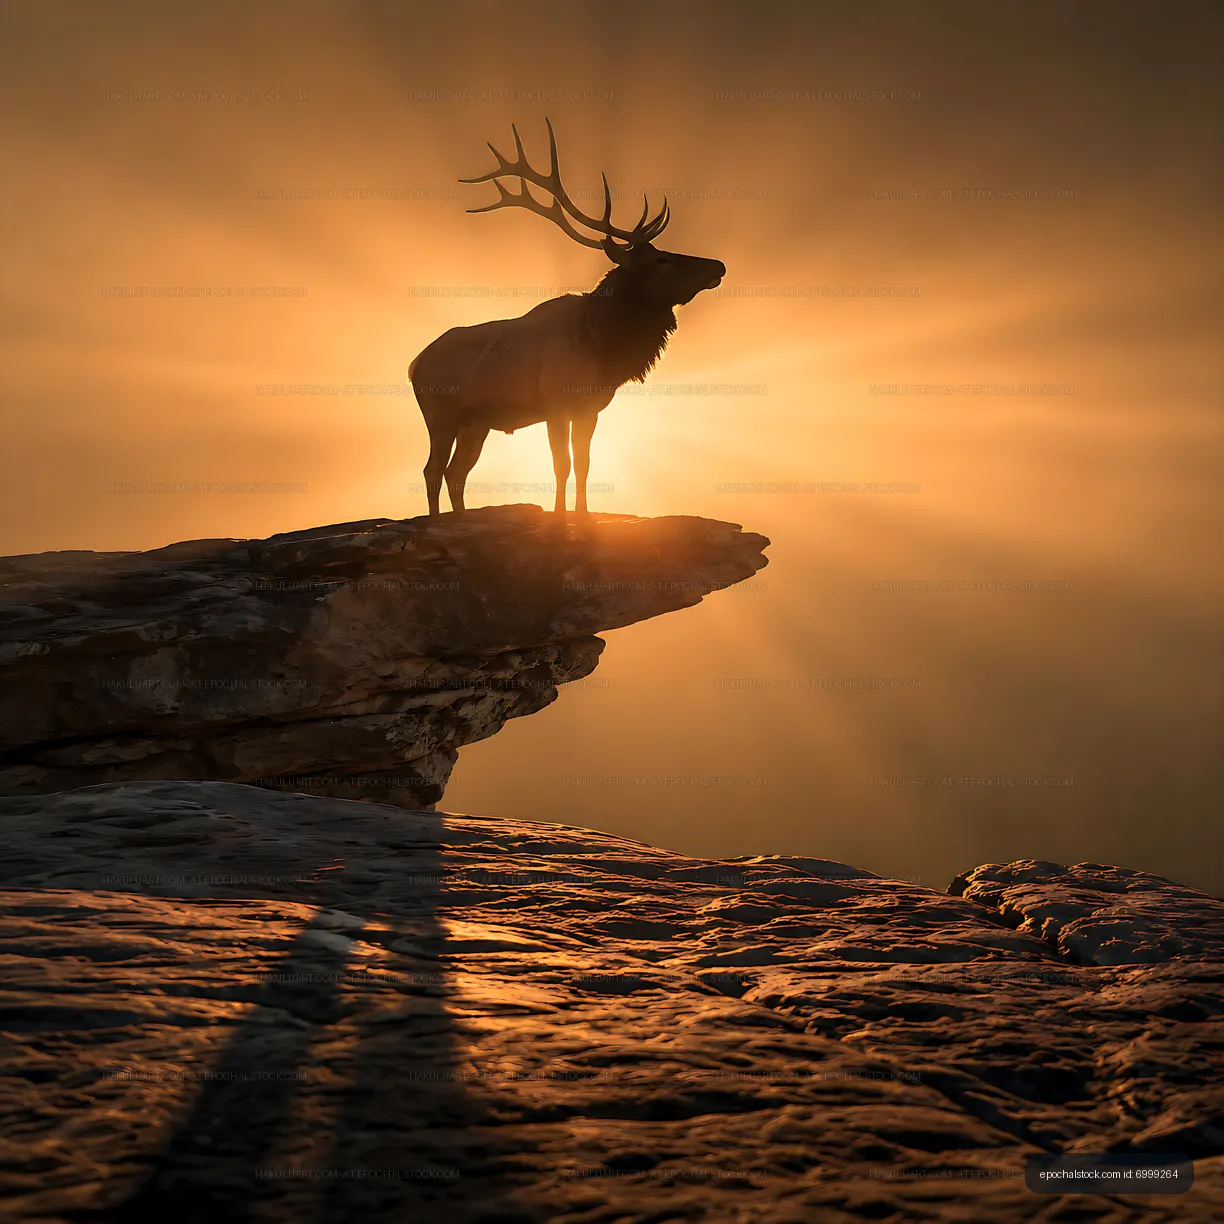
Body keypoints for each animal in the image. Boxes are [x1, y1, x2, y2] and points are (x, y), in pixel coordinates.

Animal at [409, 119, 725, 515]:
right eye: (660, 259)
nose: (718, 265)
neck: (601, 347)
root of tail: (413, 365)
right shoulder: (555, 405)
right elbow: (562, 464)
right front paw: (560, 516)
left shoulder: (590, 408)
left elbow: (585, 463)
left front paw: (583, 515)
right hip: (440, 414)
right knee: (433, 470)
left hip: (475, 423)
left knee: (457, 472)